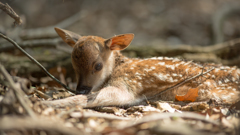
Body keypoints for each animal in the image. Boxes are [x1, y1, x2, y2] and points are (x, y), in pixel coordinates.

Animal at [40, 27, 239, 107]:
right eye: (73, 65)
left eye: (98, 66)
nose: (81, 88)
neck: (118, 66)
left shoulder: (128, 84)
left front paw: (50, 104)